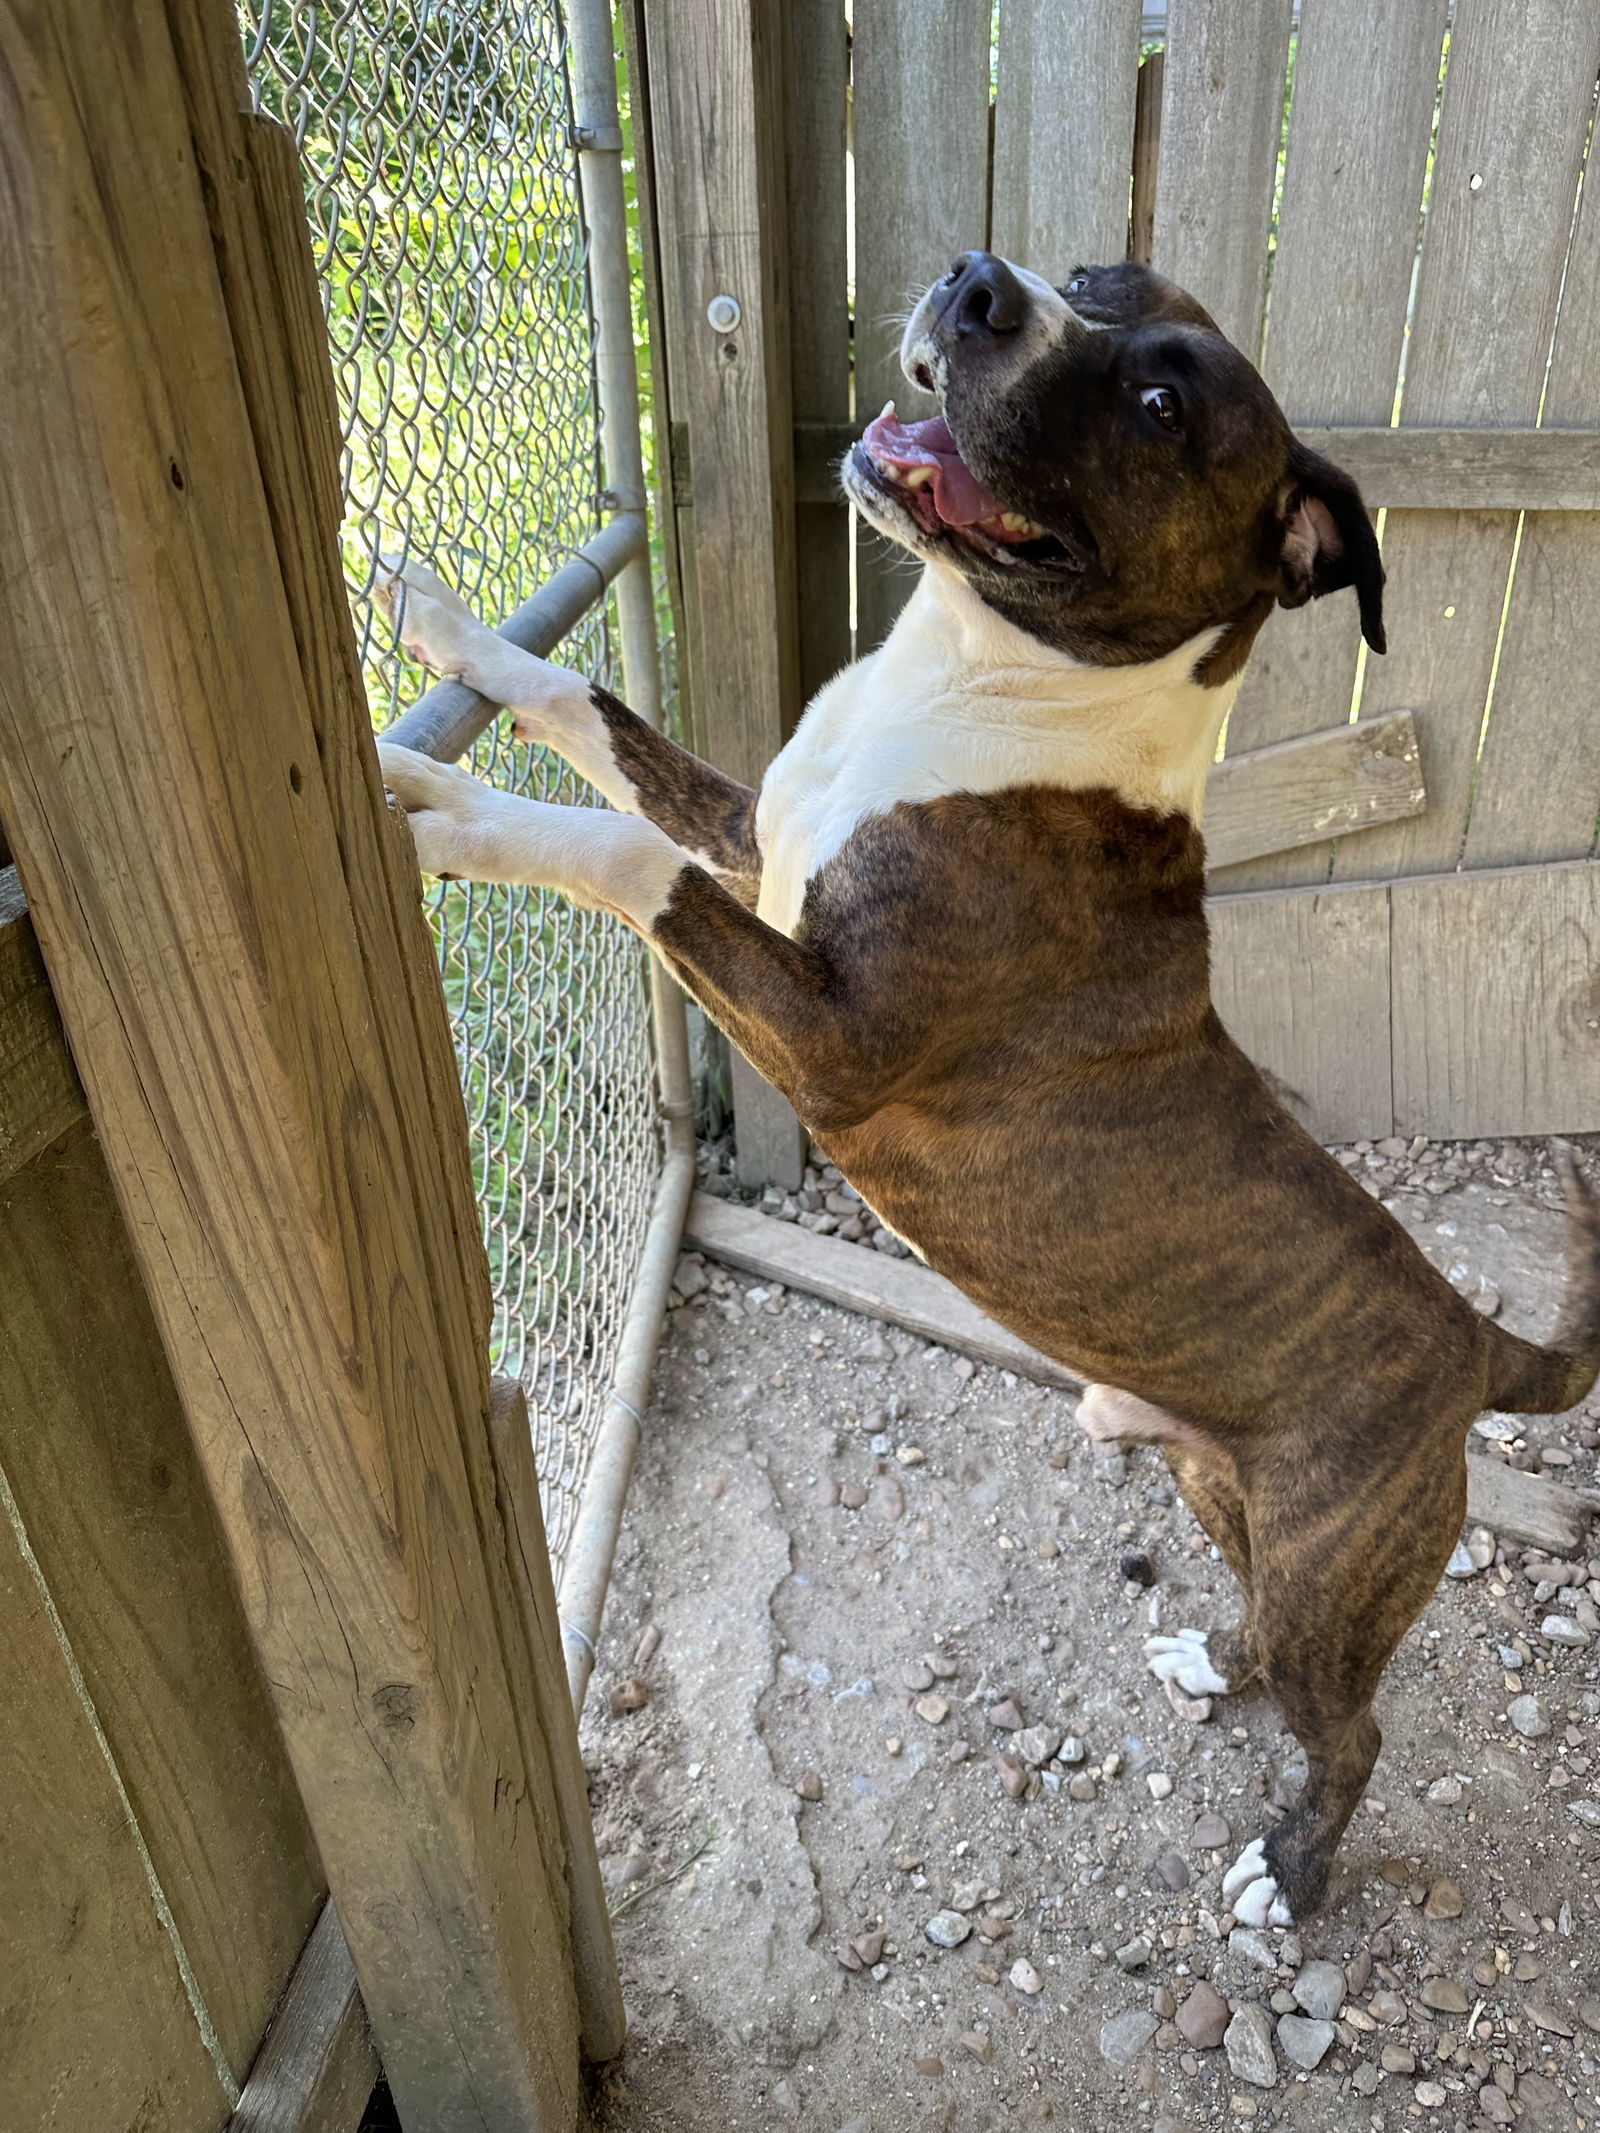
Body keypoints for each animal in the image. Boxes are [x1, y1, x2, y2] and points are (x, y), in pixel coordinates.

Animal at [379, 258, 1600, 1928]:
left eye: (1161, 405)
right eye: (1100, 281)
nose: (981, 283)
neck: (990, 680)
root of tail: (1475, 1341)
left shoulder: (824, 1039)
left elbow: (620, 849)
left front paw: (439, 809)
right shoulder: (750, 844)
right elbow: (585, 703)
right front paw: (446, 628)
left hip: (1335, 1569)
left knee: (1351, 1730)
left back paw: (1290, 1870)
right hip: (1225, 1489)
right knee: (1267, 1635)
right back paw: (1209, 1659)